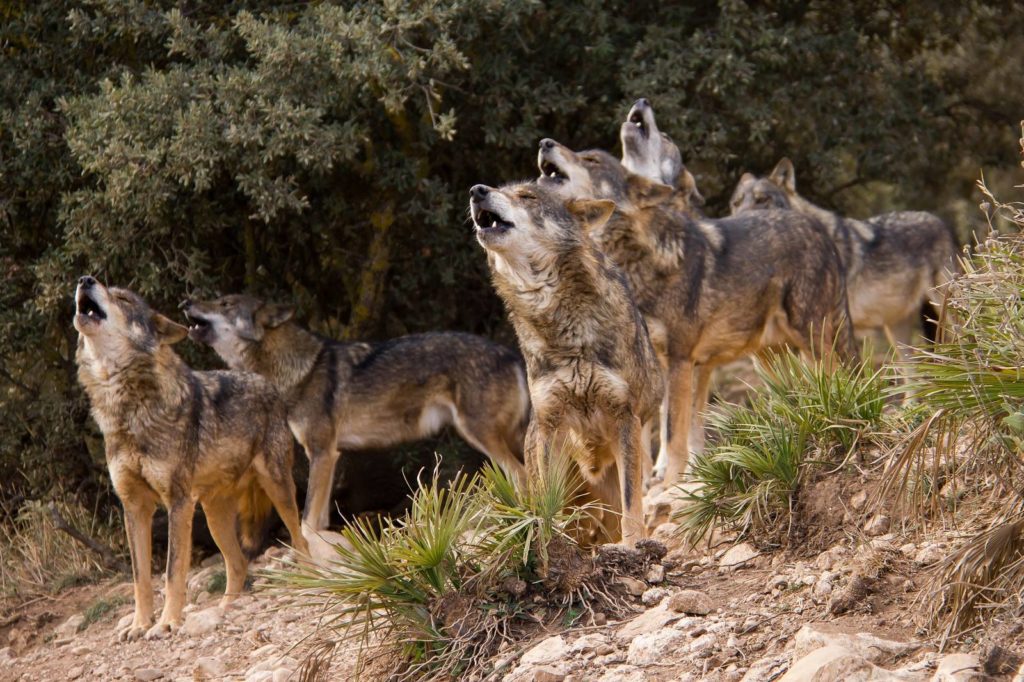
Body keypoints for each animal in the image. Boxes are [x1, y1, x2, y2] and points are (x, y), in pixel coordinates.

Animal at [72, 274, 307, 638]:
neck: (127, 411)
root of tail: (263, 380)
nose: (85, 279)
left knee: (300, 538)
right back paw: (223, 610)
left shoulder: (177, 503)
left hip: (277, 488)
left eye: (123, 299)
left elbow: (172, 572)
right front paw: (140, 625)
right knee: (238, 564)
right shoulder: (134, 507)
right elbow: (140, 578)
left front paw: (167, 623)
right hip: (213, 516)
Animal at [180, 294, 528, 528]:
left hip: (479, 433)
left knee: (521, 473)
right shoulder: (330, 455)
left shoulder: (322, 452)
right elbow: (318, 519)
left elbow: (307, 520)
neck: (297, 370)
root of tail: (512, 354)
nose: (185, 302)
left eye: (225, 303)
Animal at [471, 179, 663, 540]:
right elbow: (549, 504)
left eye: (527, 196)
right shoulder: (551, 423)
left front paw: (635, 545)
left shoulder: (625, 417)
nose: (476, 190)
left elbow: (633, 502)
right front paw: (548, 538)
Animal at [536, 138, 856, 481]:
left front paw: (671, 480)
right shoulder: (654, 367)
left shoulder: (680, 361)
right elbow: (655, 435)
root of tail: (818, 227)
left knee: (834, 375)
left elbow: (674, 434)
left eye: (592, 160)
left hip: (811, 338)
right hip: (768, 358)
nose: (545, 142)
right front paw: (654, 479)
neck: (639, 261)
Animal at [729, 158, 958, 348]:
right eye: (736, 203)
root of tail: (939, 221)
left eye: (761, 200)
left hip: (947, 310)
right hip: (898, 332)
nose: (740, 222)